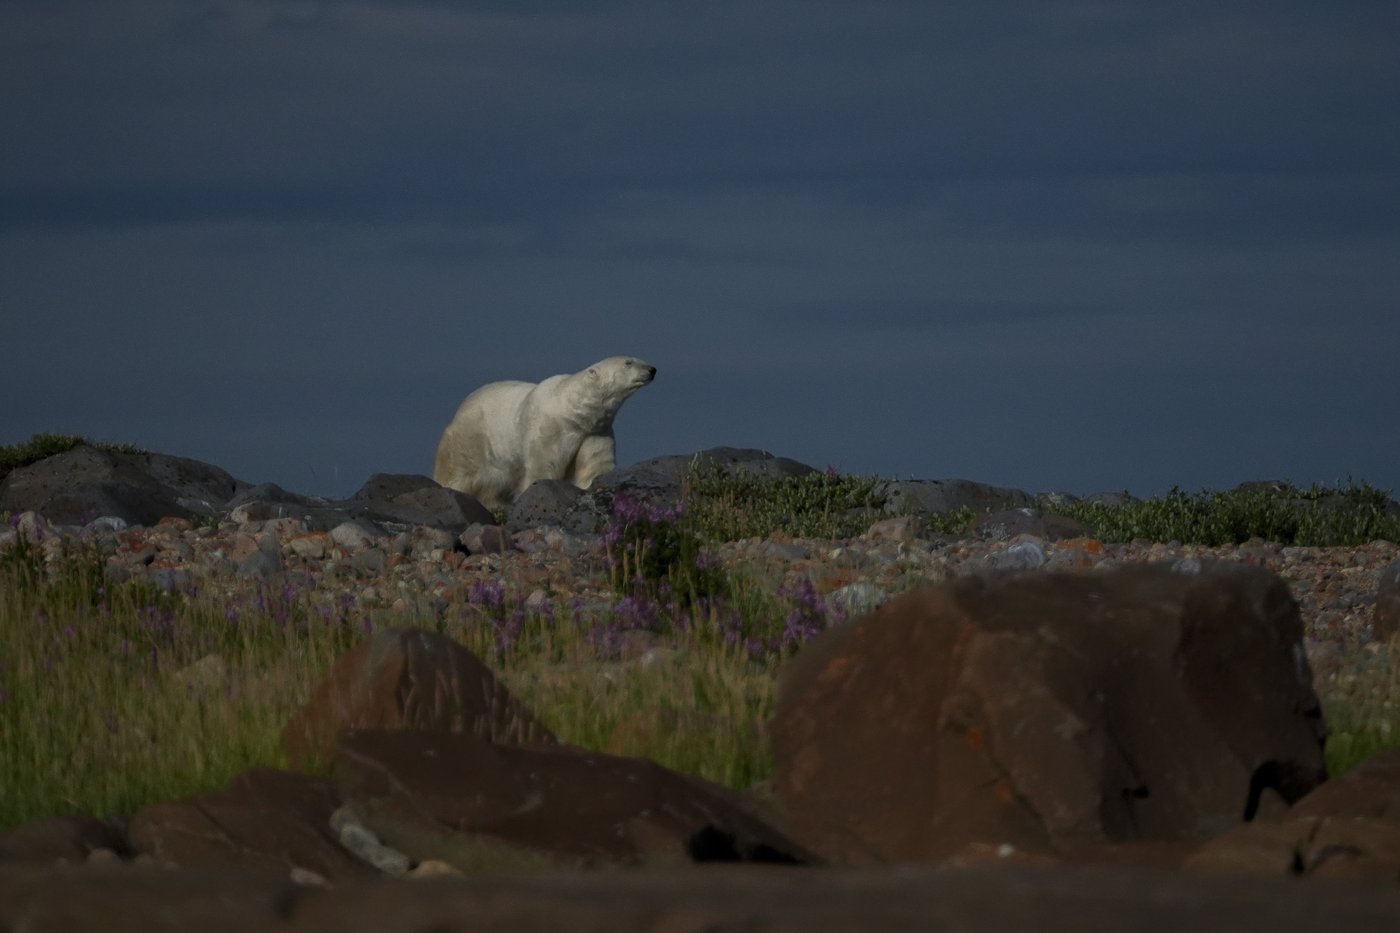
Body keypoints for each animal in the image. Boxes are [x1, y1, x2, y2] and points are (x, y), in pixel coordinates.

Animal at [433, 356, 657, 509]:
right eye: (628, 362)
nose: (652, 369)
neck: (573, 411)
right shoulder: (549, 429)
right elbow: (543, 466)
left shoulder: (595, 432)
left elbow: (595, 466)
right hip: (470, 440)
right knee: (457, 473)